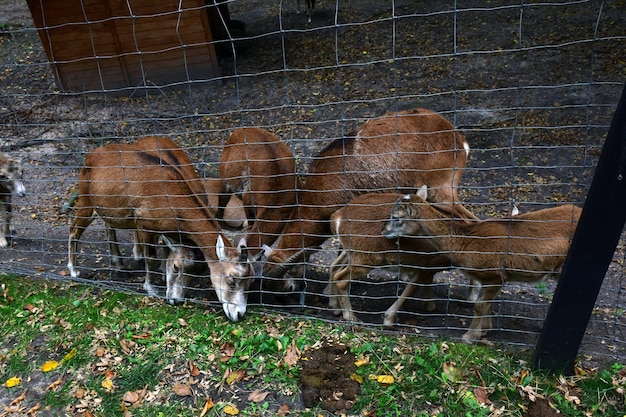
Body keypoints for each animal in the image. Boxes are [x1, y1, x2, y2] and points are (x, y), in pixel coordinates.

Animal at [67, 137, 254, 322]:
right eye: (232, 280)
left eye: (249, 280)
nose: (239, 313)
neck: (173, 201)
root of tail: (91, 155)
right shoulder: (144, 223)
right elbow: (151, 257)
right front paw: (151, 288)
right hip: (86, 199)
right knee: (74, 228)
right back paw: (74, 271)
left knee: (108, 225)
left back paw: (120, 265)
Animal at [380, 188, 580, 342]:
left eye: (396, 217)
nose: (383, 231)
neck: (467, 242)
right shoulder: (488, 278)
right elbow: (487, 304)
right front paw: (484, 330)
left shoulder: (496, 274)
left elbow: (479, 305)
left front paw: (469, 337)